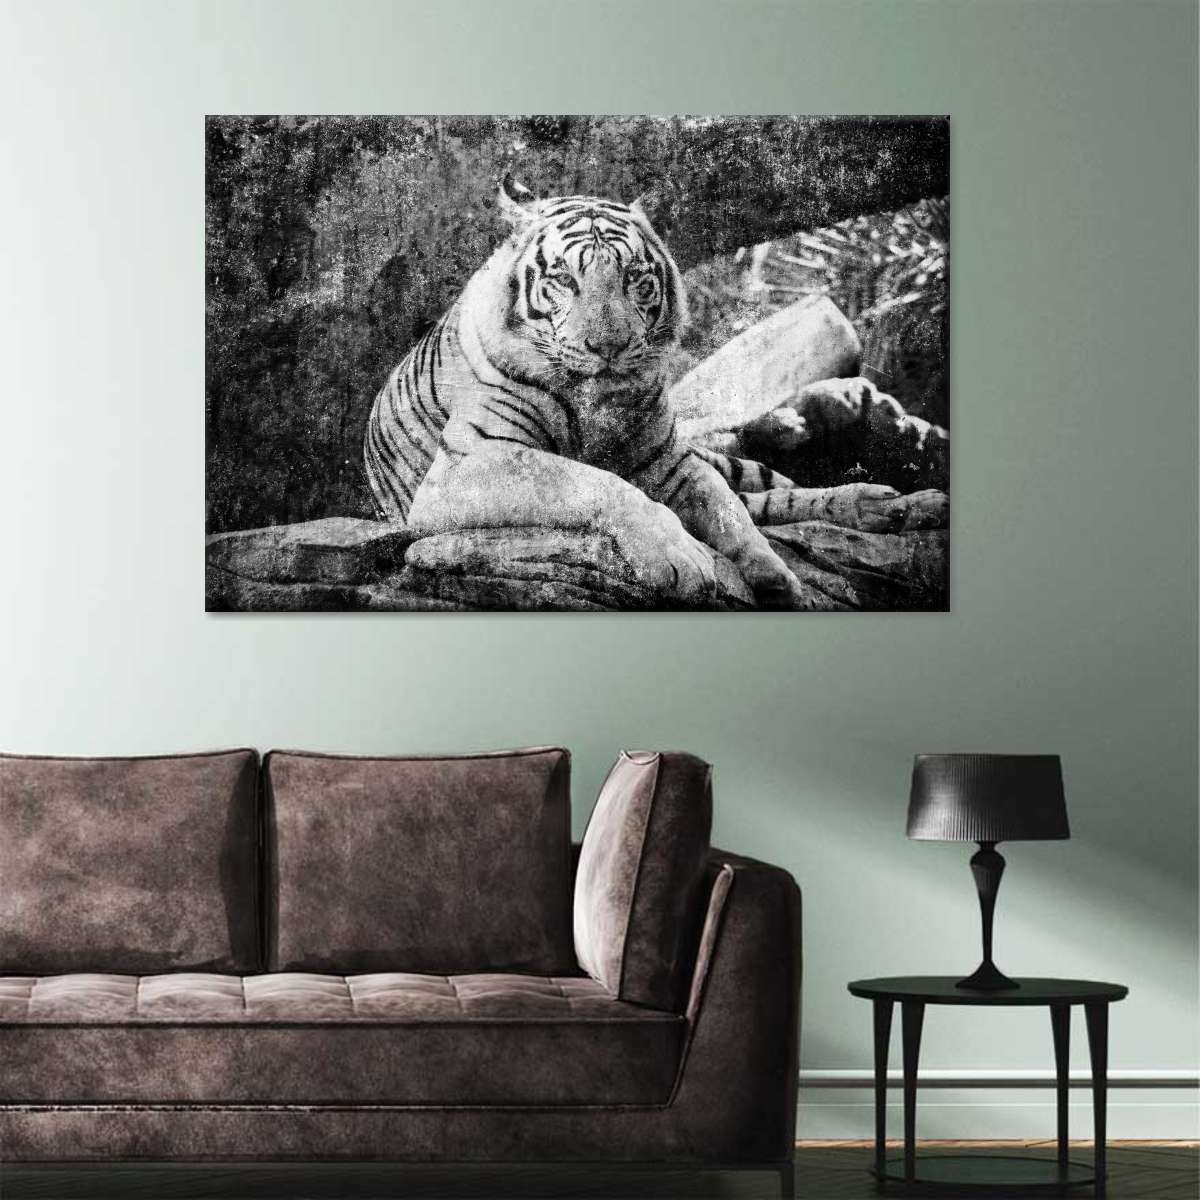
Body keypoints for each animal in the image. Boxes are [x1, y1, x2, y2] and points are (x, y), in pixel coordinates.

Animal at [364, 176, 929, 606]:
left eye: (635, 277)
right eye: (563, 280)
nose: (609, 346)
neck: (595, 406)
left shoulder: (673, 461)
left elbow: (732, 516)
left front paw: (785, 585)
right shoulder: (469, 464)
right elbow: (598, 482)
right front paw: (682, 558)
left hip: (716, 457)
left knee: (771, 491)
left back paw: (890, 503)